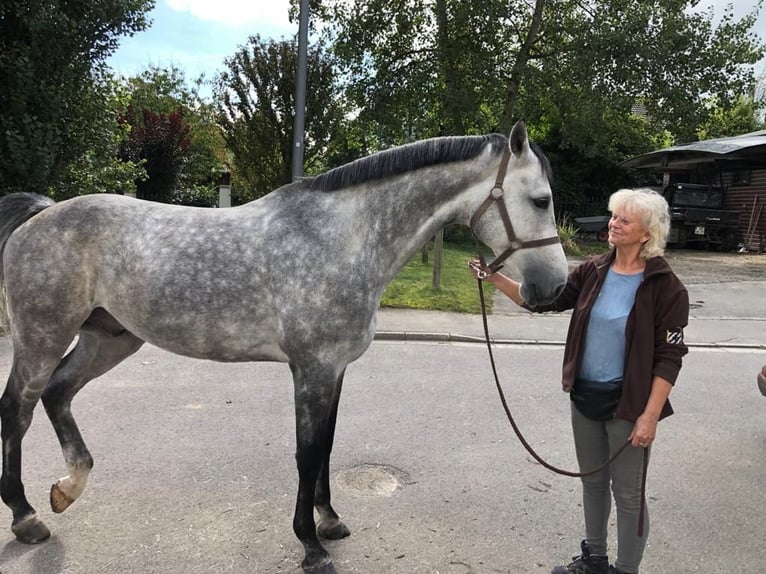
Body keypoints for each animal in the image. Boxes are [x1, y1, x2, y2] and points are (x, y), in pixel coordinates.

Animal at [0, 120, 564, 572]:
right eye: (540, 200)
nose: (554, 289)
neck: (341, 240)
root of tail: (40, 214)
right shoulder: (312, 369)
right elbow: (307, 452)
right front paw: (311, 546)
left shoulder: (334, 370)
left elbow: (327, 447)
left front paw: (330, 520)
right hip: (43, 336)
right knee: (18, 410)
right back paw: (26, 516)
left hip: (109, 339)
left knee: (58, 393)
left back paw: (66, 488)